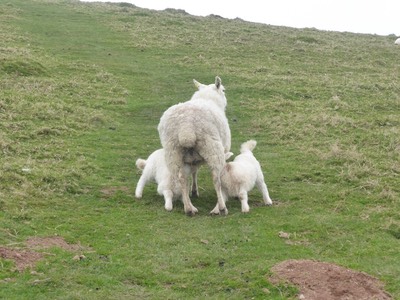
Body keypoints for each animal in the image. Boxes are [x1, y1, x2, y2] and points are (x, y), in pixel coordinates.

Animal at [157, 76, 230, 214]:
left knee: (181, 179)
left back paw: (189, 208)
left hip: (173, 152)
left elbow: (194, 172)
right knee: (215, 178)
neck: (207, 98)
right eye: (223, 90)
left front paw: (194, 191)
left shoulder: (192, 160)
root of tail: (186, 127)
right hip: (212, 148)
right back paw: (220, 207)